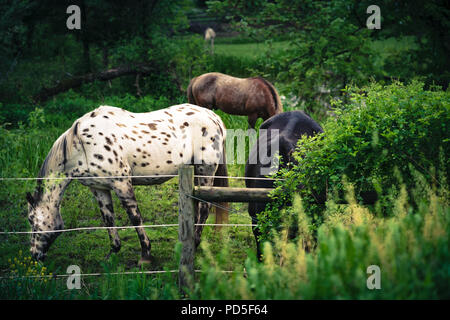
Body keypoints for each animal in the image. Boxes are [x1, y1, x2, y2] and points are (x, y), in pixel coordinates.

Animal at [25, 104, 227, 264]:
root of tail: (215, 118)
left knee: (205, 208)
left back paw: (196, 243)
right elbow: (108, 220)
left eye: (31, 220)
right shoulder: (99, 188)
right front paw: (112, 253)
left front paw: (146, 254)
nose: (34, 255)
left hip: (205, 169)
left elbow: (135, 218)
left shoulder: (121, 184)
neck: (82, 145)